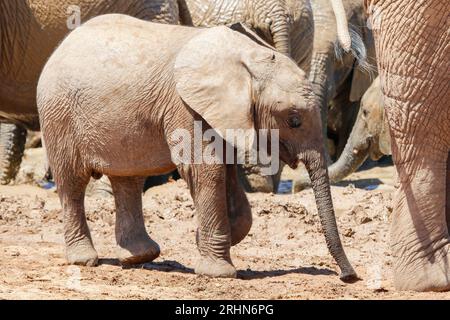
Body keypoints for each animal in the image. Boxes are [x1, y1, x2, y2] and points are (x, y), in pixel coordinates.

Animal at [37, 15, 356, 280]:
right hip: (58, 115)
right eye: (294, 120)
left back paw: (139, 257)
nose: (348, 276)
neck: (248, 58)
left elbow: (227, 172)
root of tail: (59, 48)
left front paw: (203, 238)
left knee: (128, 179)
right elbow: (208, 171)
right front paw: (219, 273)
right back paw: (84, 260)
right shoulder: (186, 107)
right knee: (72, 181)